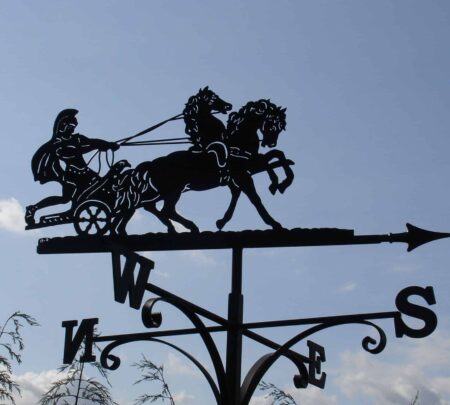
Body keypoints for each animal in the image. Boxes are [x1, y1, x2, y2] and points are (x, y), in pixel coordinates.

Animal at [110, 97, 294, 234]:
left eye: (281, 126)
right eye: (272, 123)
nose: (270, 142)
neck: (238, 141)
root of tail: (150, 166)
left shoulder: (245, 170)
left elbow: (276, 156)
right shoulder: (242, 173)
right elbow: (255, 195)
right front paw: (274, 215)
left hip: (162, 192)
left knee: (148, 206)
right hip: (173, 190)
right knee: (163, 209)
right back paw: (188, 227)